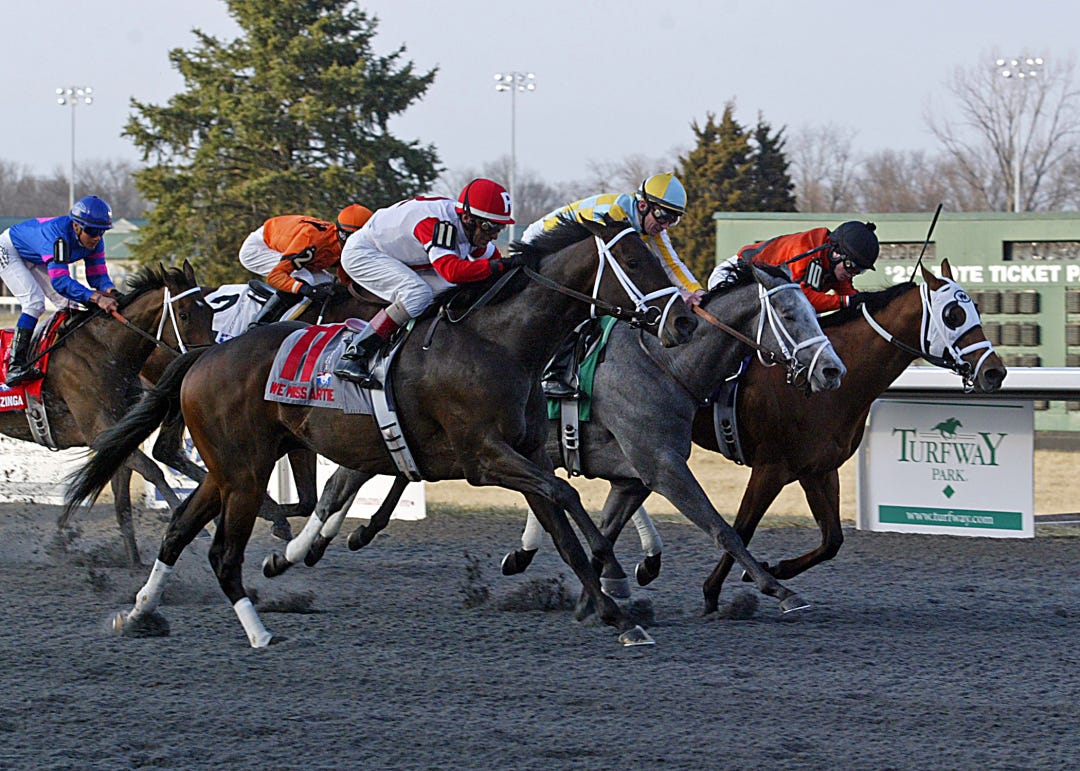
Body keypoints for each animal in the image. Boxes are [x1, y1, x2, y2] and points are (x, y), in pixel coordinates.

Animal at [2, 262, 215, 565]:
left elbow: (121, 497)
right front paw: (194, 525)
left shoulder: (118, 432)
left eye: (209, 312)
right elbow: (152, 470)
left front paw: (134, 560)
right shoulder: (100, 434)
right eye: (184, 315)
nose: (205, 360)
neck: (105, 350)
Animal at [63, 216, 702, 648]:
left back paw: (140, 613)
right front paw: (616, 577)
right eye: (636, 263)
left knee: (178, 531)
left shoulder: (521, 457)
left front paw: (617, 612)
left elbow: (562, 523)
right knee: (222, 552)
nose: (685, 322)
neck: (498, 341)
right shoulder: (485, 457)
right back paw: (260, 631)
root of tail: (203, 354)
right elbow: (567, 494)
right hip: (244, 472)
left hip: (228, 468)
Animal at [297, 260, 847, 622]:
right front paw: (778, 587)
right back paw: (308, 545)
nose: (831, 371)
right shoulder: (661, 465)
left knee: (370, 474)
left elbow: (605, 524)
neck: (663, 362)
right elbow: (722, 526)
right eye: (791, 314)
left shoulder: (631, 475)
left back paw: (329, 540)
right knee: (348, 481)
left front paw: (598, 591)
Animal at [606, 259, 1007, 614]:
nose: (995, 372)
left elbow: (832, 540)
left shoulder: (818, 469)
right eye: (953, 315)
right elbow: (742, 528)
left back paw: (643, 564)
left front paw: (773, 570)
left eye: (976, 311)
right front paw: (715, 591)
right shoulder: (772, 467)